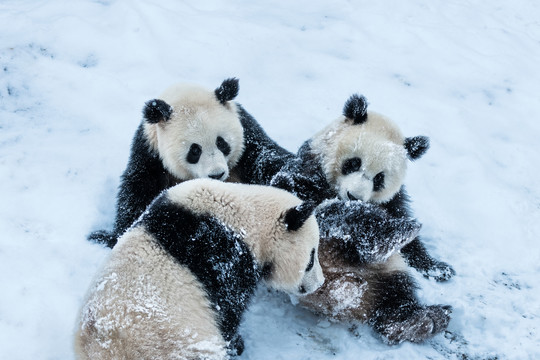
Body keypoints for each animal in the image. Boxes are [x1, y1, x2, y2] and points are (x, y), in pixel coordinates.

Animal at [284, 94, 454, 344]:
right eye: (354, 163)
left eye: (379, 178)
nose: (354, 196)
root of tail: (341, 291)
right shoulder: (306, 167)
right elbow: (303, 200)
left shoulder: (391, 201)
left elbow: (410, 243)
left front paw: (438, 269)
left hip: (386, 272)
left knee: (396, 296)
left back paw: (418, 323)